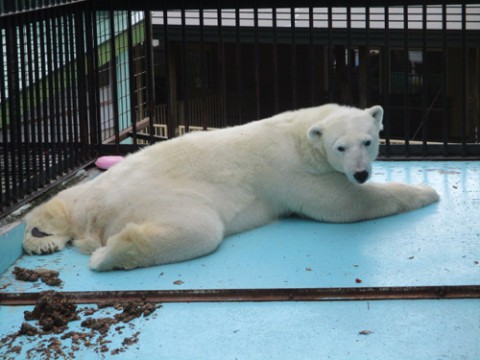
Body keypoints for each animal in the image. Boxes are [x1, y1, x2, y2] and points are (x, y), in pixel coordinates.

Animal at [24, 104, 440, 270]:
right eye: (341, 147)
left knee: (61, 204)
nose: (361, 173)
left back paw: (41, 237)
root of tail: (99, 213)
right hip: (159, 198)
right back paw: (107, 254)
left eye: (368, 141)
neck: (301, 134)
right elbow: (343, 204)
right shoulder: (290, 171)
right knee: (200, 229)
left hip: (91, 192)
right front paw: (427, 193)